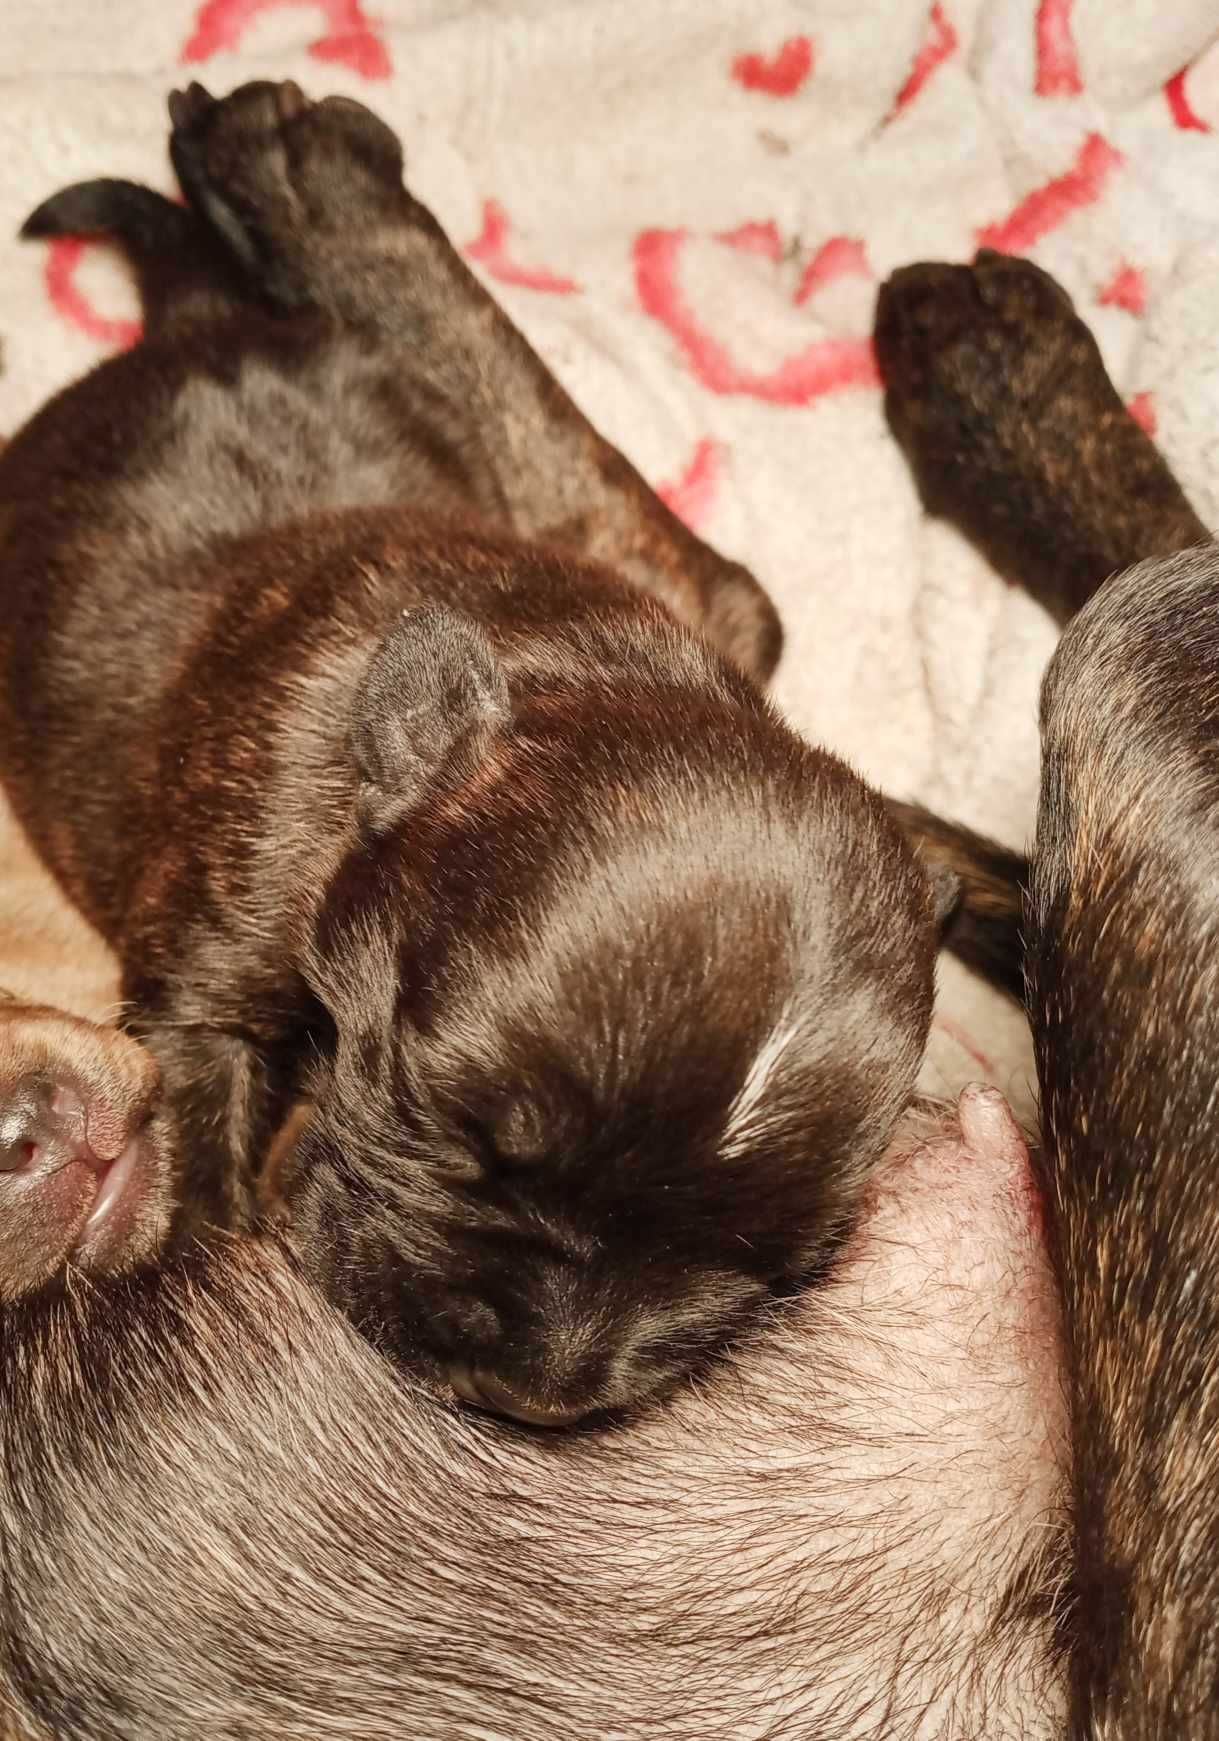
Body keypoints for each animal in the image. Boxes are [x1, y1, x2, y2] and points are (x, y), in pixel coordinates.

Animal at [0, 78, 940, 1427]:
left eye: (778, 1263)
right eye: (453, 1126)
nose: (539, 1395)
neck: (561, 664)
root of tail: (189, 318)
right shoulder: (212, 971)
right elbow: (202, 1155)